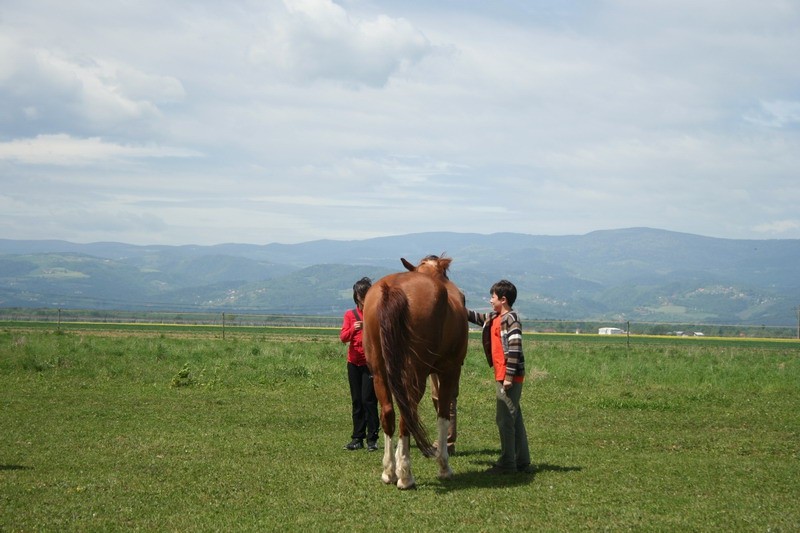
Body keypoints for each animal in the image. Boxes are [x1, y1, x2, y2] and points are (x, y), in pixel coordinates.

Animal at [362, 256, 468, 488]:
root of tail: (392, 288)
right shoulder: (450, 370)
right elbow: (443, 415)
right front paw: (444, 466)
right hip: (416, 374)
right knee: (406, 414)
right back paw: (405, 475)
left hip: (379, 372)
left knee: (388, 413)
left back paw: (389, 472)